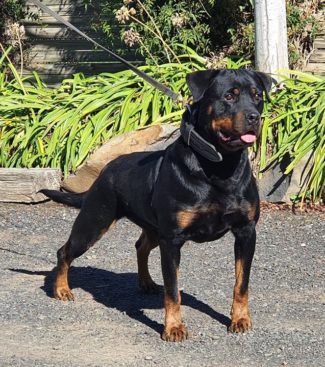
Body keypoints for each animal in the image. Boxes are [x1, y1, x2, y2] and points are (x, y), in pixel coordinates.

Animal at [41, 68, 274, 342]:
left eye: (258, 96)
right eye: (229, 96)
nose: (254, 117)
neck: (219, 167)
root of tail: (106, 170)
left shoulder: (246, 231)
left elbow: (241, 283)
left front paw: (240, 319)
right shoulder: (172, 239)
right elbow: (173, 290)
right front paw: (173, 328)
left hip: (151, 228)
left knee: (140, 246)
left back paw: (146, 282)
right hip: (95, 221)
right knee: (65, 251)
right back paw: (61, 289)